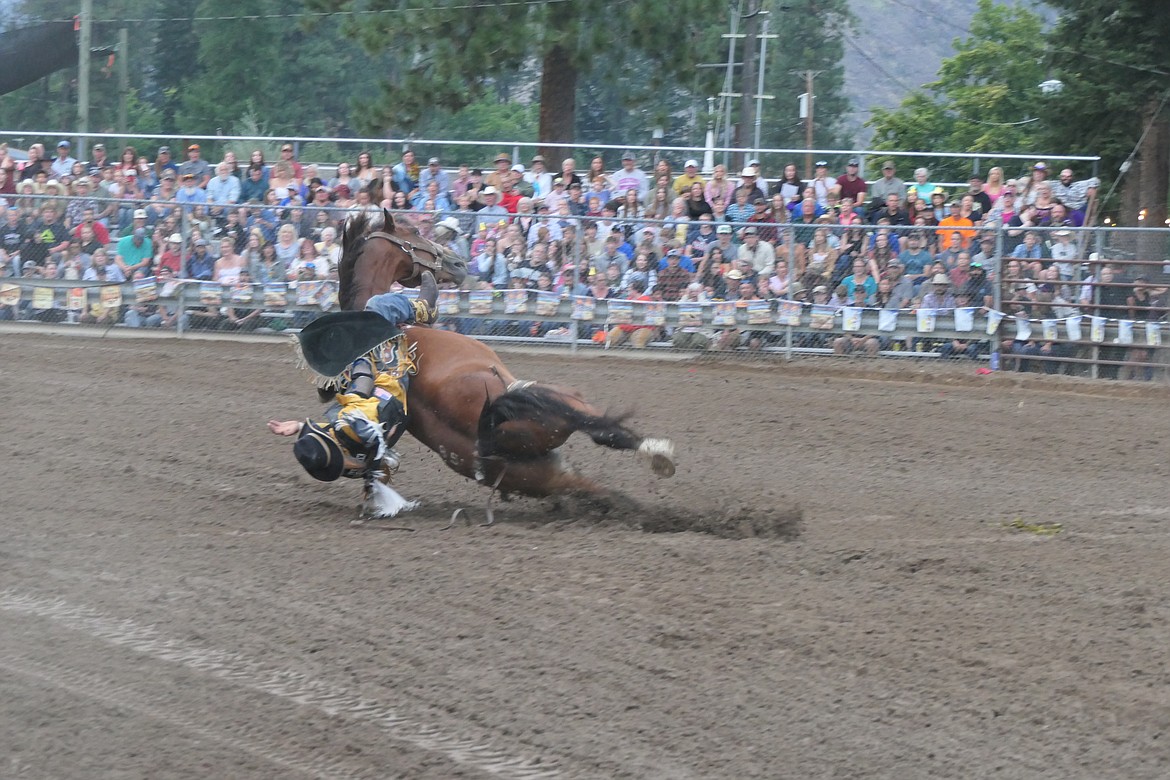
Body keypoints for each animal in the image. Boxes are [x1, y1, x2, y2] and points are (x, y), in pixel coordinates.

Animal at [334, 211, 678, 507]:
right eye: (416, 232)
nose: (457, 263)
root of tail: (489, 432)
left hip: (544, 475)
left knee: (596, 483)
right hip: (563, 402)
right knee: (606, 432)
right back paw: (659, 456)